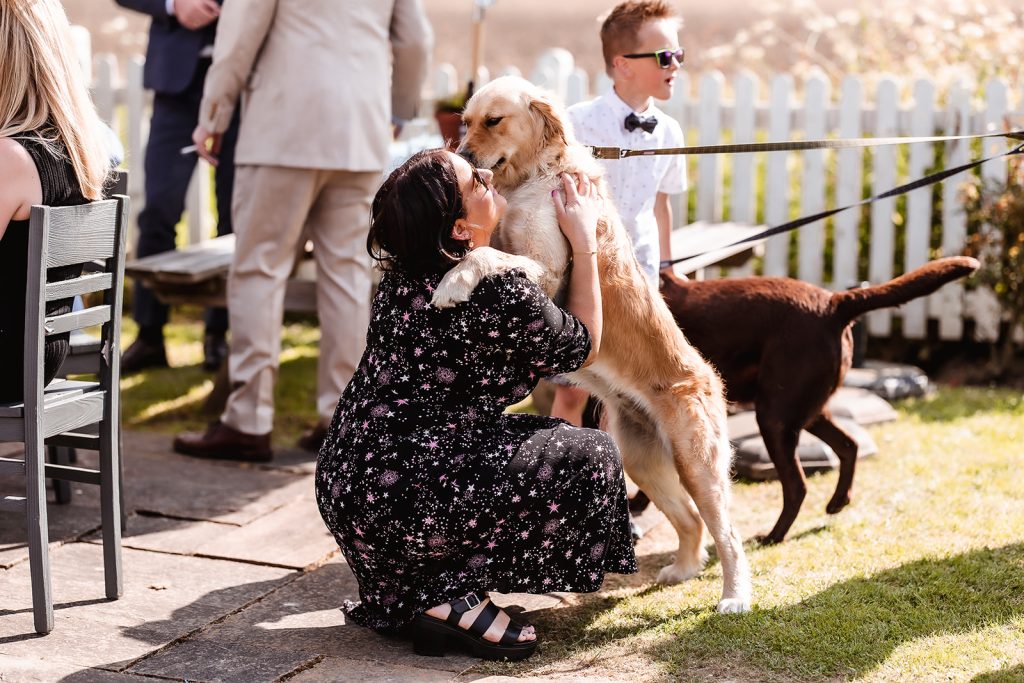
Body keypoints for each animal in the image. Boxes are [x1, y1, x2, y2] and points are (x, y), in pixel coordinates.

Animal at [659, 255, 978, 544]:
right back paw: (838, 501)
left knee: (797, 486)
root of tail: (833, 303)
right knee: (849, 445)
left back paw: (774, 536)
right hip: (803, 410)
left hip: (775, 416)